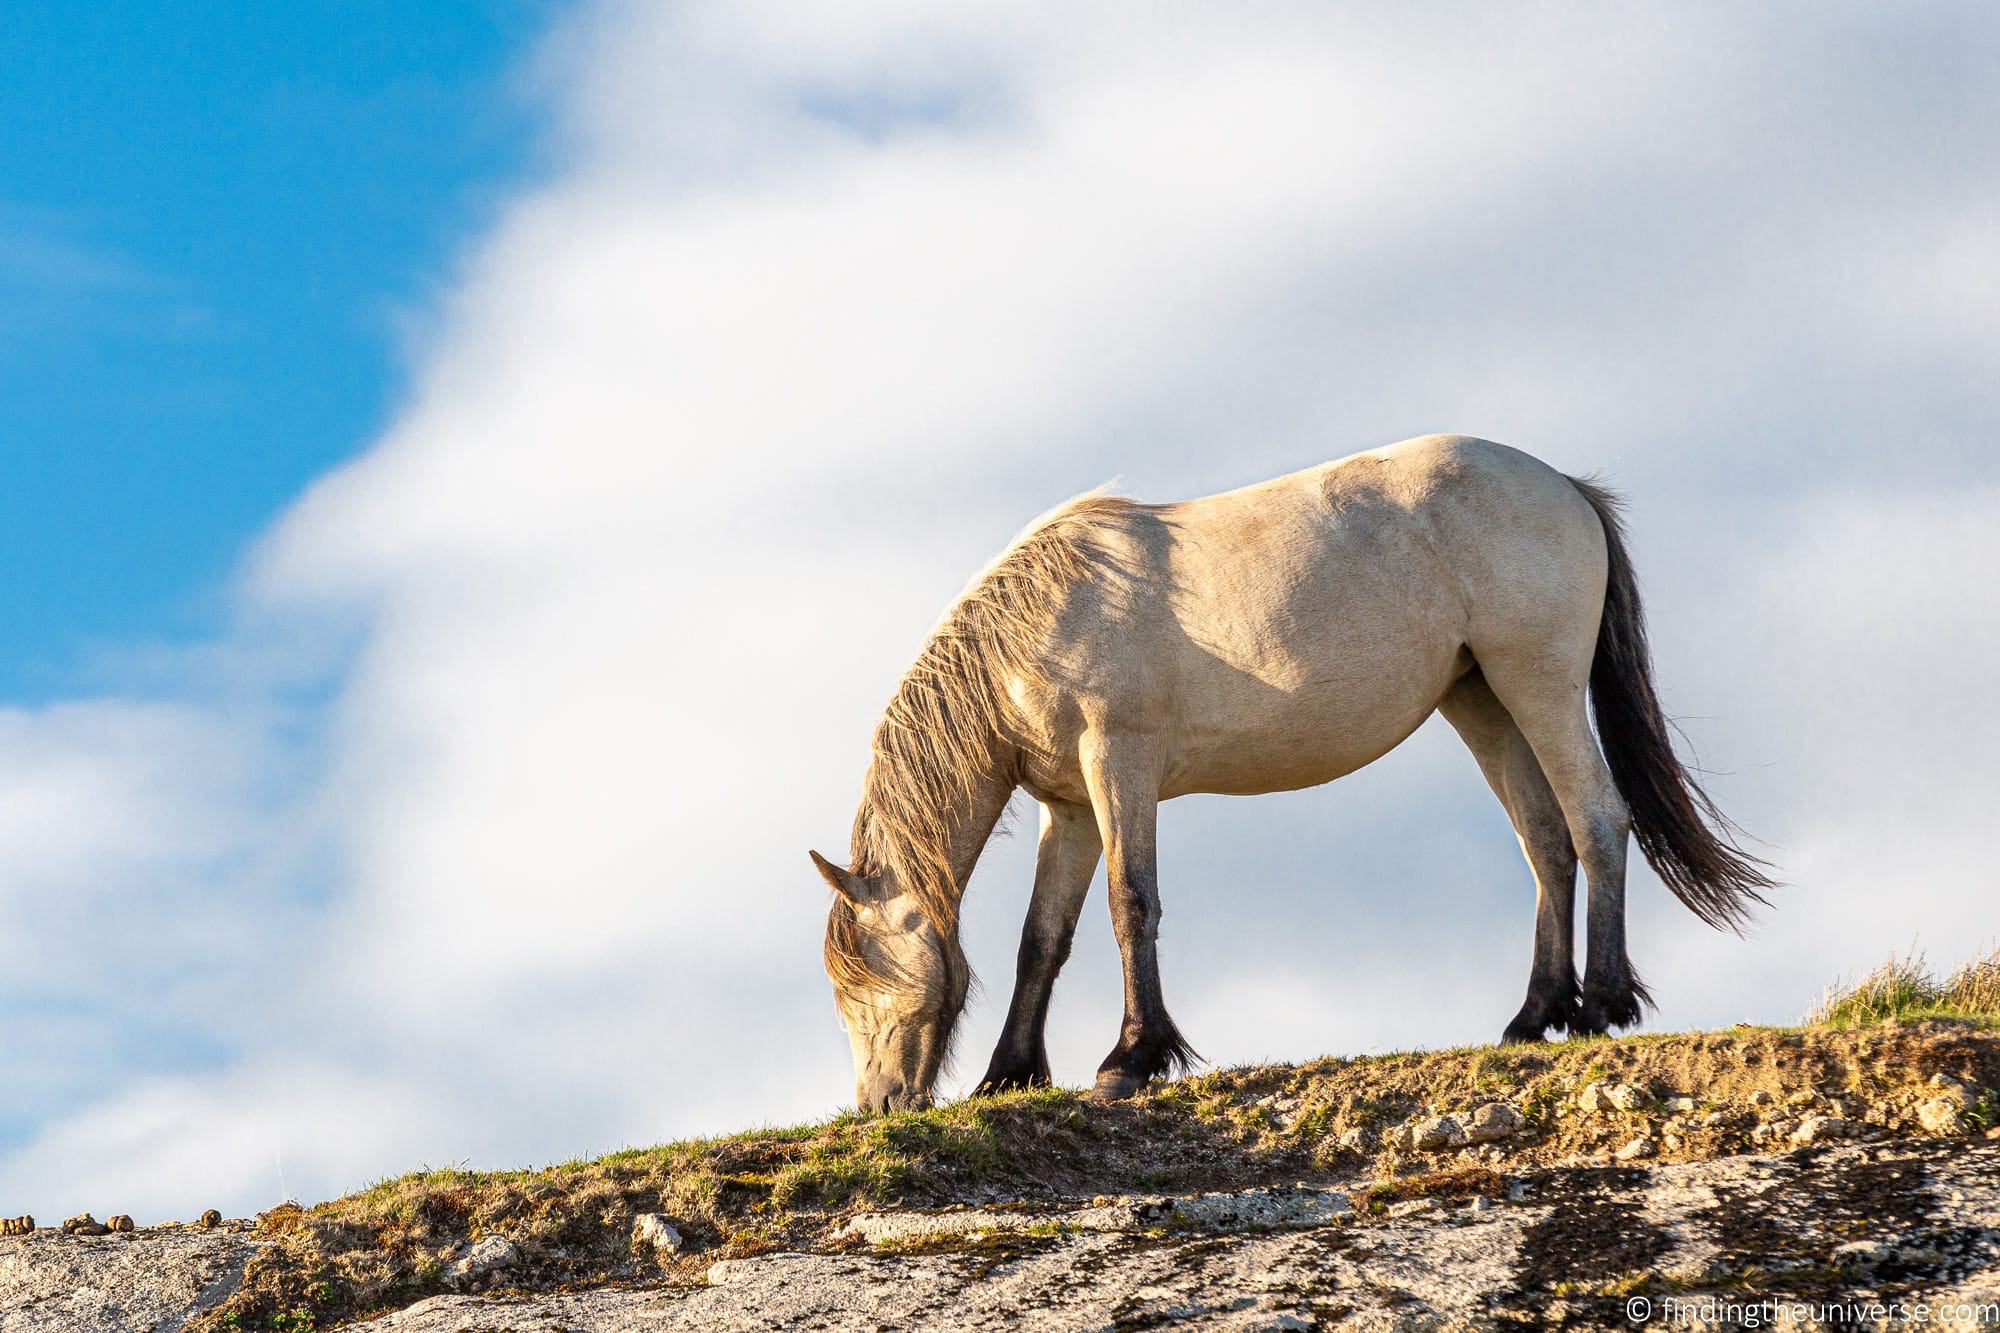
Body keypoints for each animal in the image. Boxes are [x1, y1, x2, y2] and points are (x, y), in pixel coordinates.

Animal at [804, 430, 1776, 1104]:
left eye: (869, 976)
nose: (879, 1103)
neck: (1042, 615)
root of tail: (1567, 487)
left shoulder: (1119, 762)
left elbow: (1130, 904)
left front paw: (1131, 1058)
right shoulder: (1071, 806)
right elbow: (1042, 936)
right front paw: (1009, 1074)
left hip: (1537, 683)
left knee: (1596, 819)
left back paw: (1603, 1003)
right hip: (1483, 702)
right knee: (1546, 843)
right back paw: (1534, 1014)